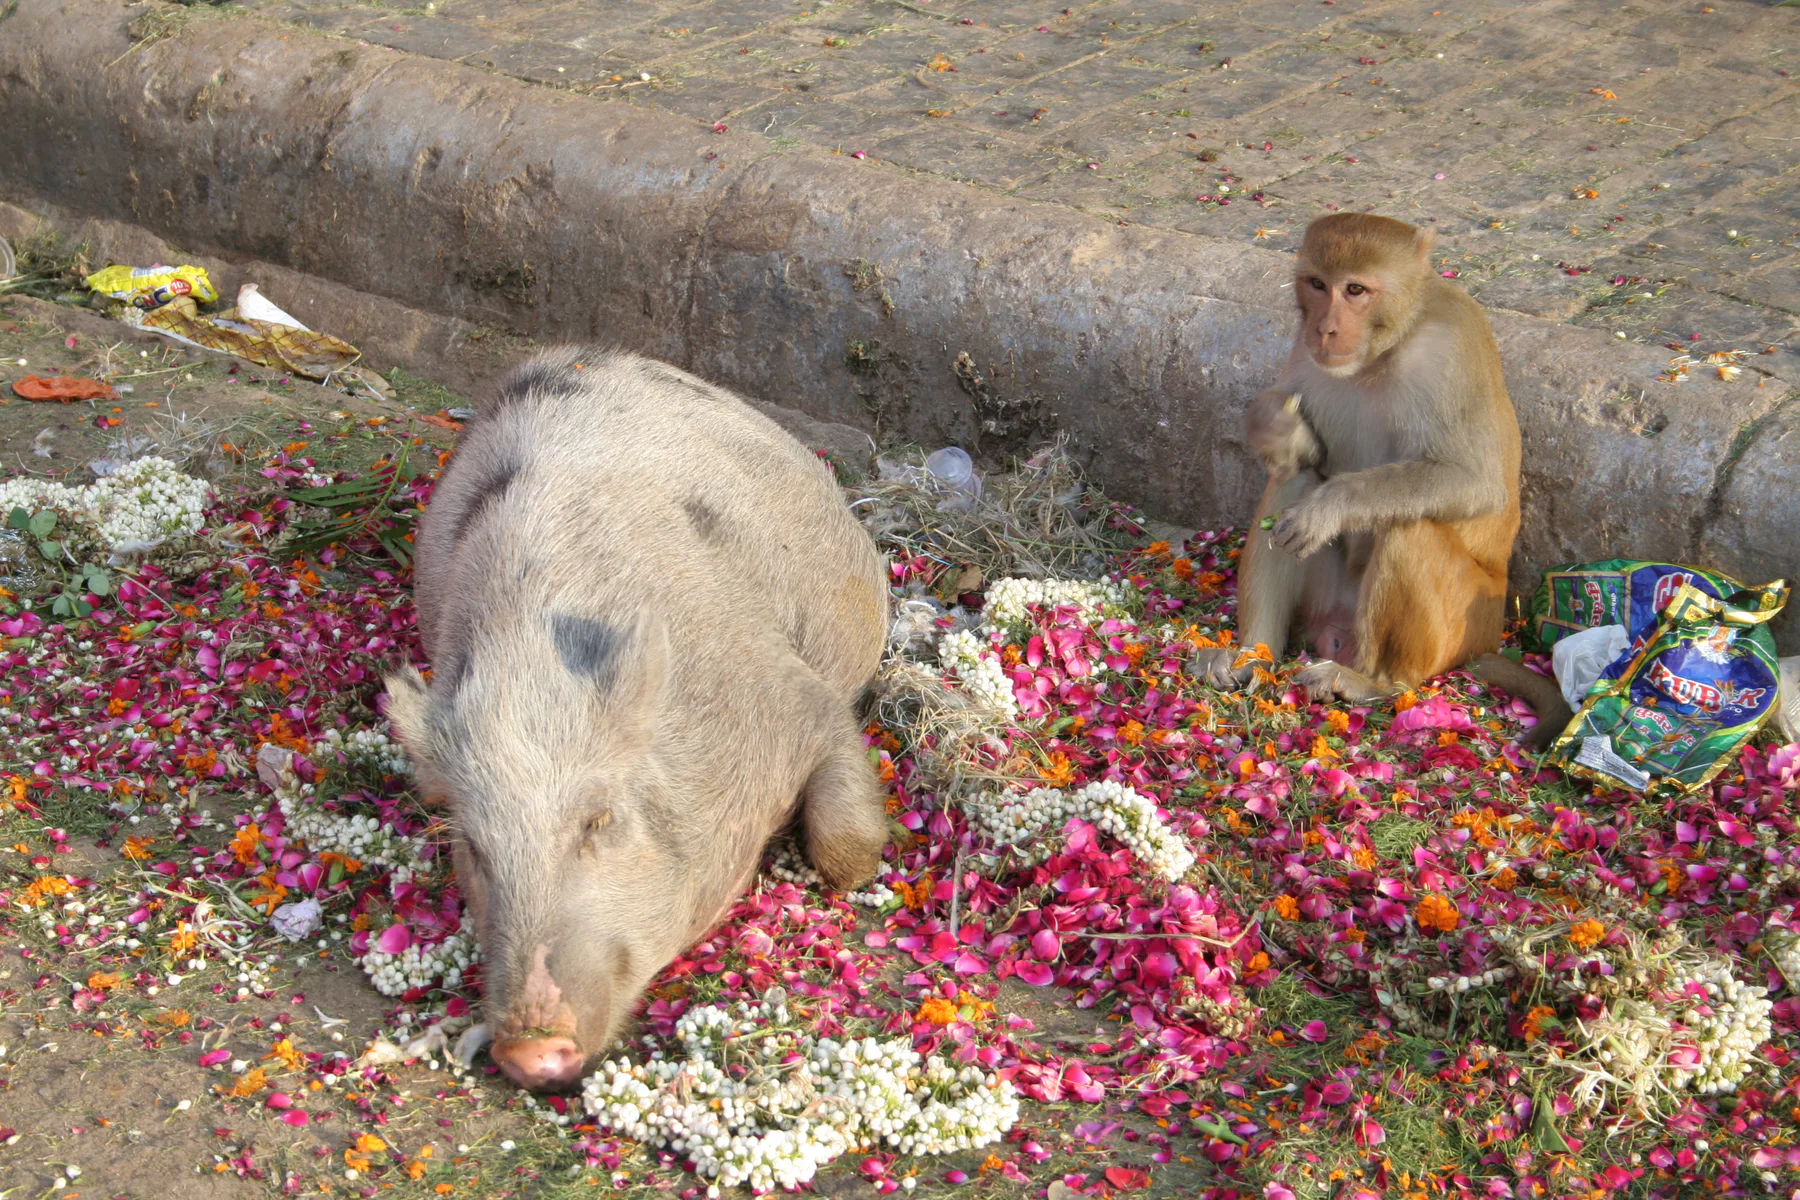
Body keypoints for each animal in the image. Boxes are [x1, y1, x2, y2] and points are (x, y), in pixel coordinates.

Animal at [382, 348, 890, 1091]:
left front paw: (865, 863)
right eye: (473, 847)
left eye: (600, 820)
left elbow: (843, 851)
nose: (531, 1052)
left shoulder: (801, 697)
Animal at [1193, 213, 1523, 704]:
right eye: (1316, 284)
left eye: (1355, 290)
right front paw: (1283, 433)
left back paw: (1371, 681)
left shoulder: (1451, 349)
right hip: (1325, 605)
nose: (1325, 328)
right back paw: (1254, 654)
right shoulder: (1305, 346)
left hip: (1463, 625)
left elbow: (1473, 482)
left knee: (1411, 528)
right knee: (1293, 480)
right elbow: (1283, 412)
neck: (1387, 347)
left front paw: (1331, 506)